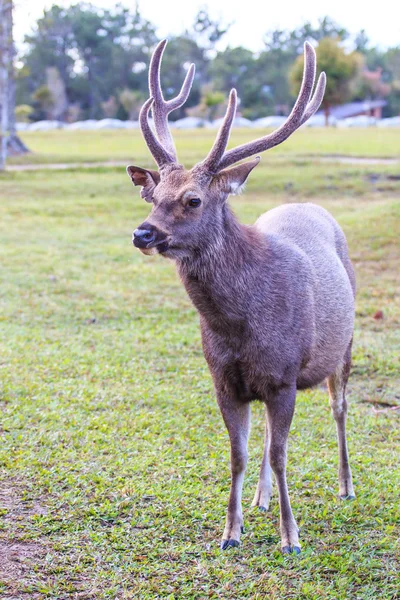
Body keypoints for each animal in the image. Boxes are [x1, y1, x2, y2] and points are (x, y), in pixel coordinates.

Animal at [126, 39, 354, 556]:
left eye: (193, 200)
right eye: (152, 196)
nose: (142, 233)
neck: (239, 325)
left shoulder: (285, 375)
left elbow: (282, 453)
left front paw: (291, 537)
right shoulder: (224, 379)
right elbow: (240, 453)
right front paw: (231, 530)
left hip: (345, 346)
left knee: (338, 408)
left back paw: (346, 485)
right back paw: (260, 500)